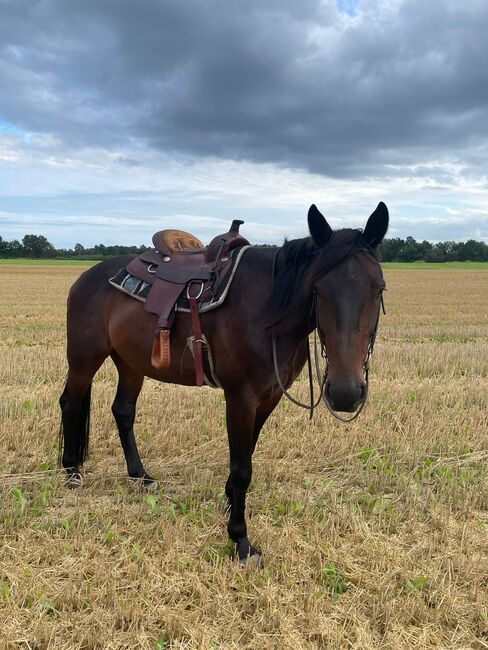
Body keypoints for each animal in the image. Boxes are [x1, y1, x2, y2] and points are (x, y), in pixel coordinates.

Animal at [59, 201, 388, 560]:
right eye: (317, 289)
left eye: (379, 289)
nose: (345, 392)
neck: (269, 312)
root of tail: (86, 277)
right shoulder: (240, 397)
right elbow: (242, 467)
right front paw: (240, 539)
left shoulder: (269, 396)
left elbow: (247, 454)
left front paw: (230, 502)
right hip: (84, 358)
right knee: (70, 402)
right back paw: (71, 471)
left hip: (131, 363)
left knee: (123, 411)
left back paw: (140, 475)